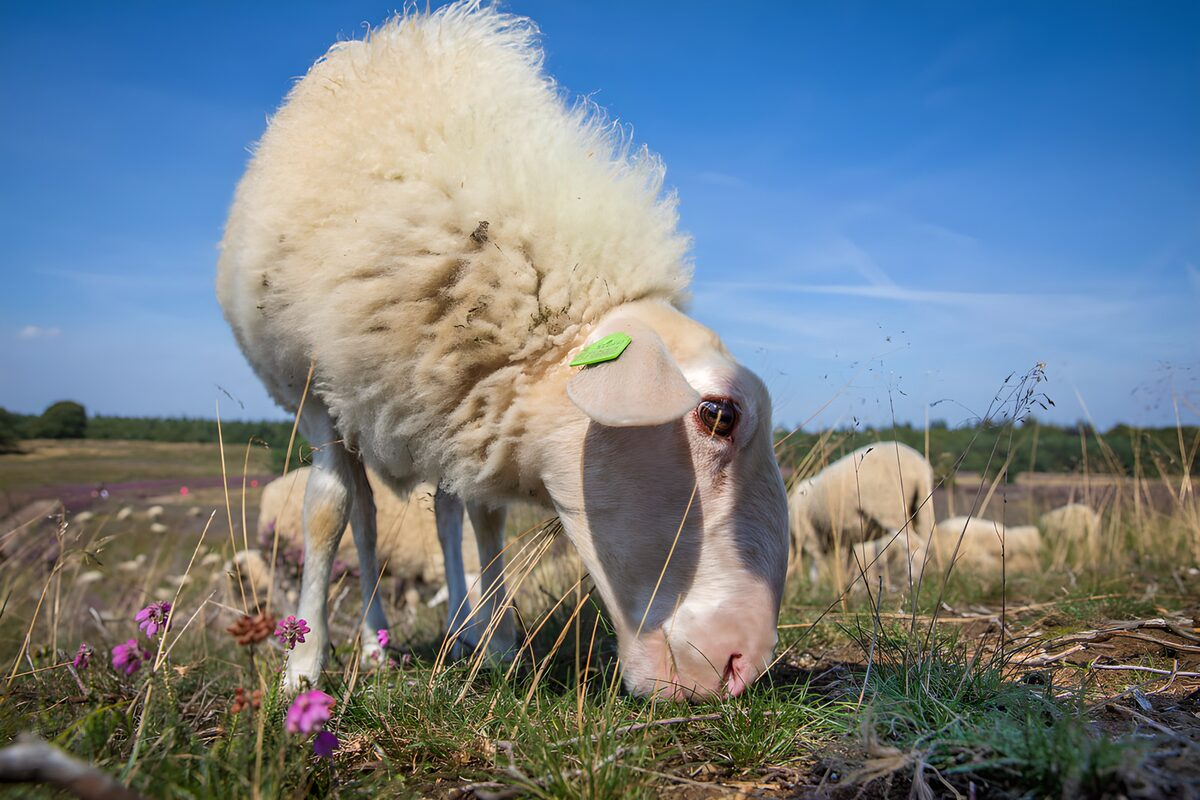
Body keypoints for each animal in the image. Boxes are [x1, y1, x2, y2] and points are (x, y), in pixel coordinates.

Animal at [216, 3, 789, 699]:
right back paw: (376, 644)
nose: (742, 666)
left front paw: (495, 645)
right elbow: (328, 513)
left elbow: (482, 519)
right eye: (719, 415)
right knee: (366, 520)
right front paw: (303, 668)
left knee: (445, 514)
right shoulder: (317, 388)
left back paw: (462, 630)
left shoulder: (472, 399)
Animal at [789, 442, 935, 586]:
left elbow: (816, 572)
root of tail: (917, 466)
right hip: (922, 504)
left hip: (890, 510)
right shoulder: (846, 542)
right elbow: (849, 566)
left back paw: (912, 582)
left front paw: (816, 590)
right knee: (925, 542)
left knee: (913, 545)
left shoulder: (810, 538)